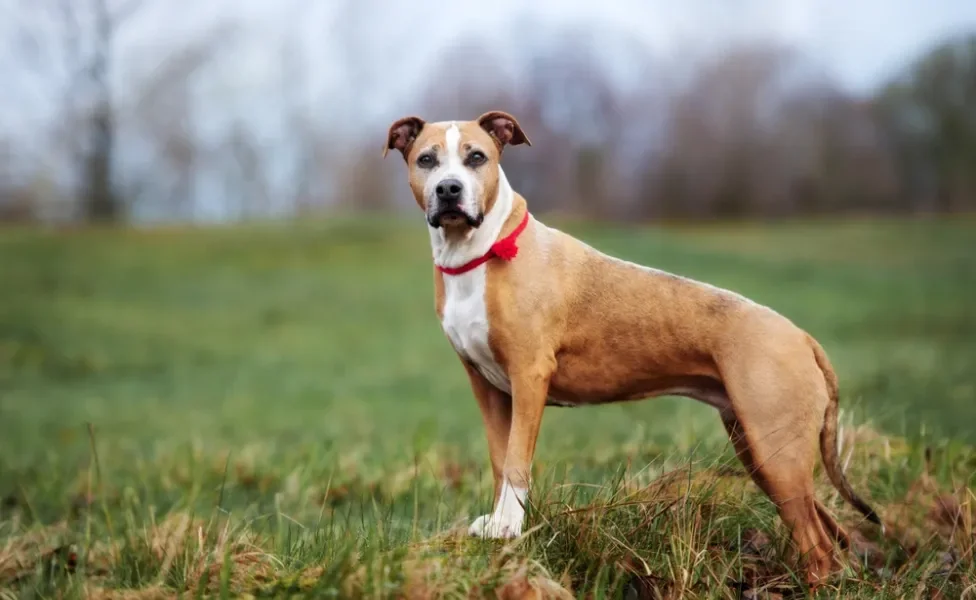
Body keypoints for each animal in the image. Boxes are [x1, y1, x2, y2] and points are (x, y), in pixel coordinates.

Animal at [384, 110, 884, 584]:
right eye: (426, 159)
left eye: (476, 158)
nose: (449, 189)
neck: (483, 252)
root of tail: (801, 337)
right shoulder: (488, 388)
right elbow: (497, 460)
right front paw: (497, 525)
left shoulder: (528, 378)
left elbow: (516, 463)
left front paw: (509, 528)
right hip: (762, 452)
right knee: (827, 531)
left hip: (775, 451)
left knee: (819, 546)